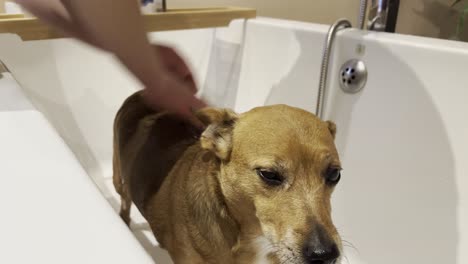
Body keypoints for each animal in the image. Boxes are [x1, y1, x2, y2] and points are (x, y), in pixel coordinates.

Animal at [112, 91, 340, 264]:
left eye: (335, 174)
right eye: (269, 175)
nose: (325, 254)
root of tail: (142, 93)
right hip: (118, 179)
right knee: (124, 200)